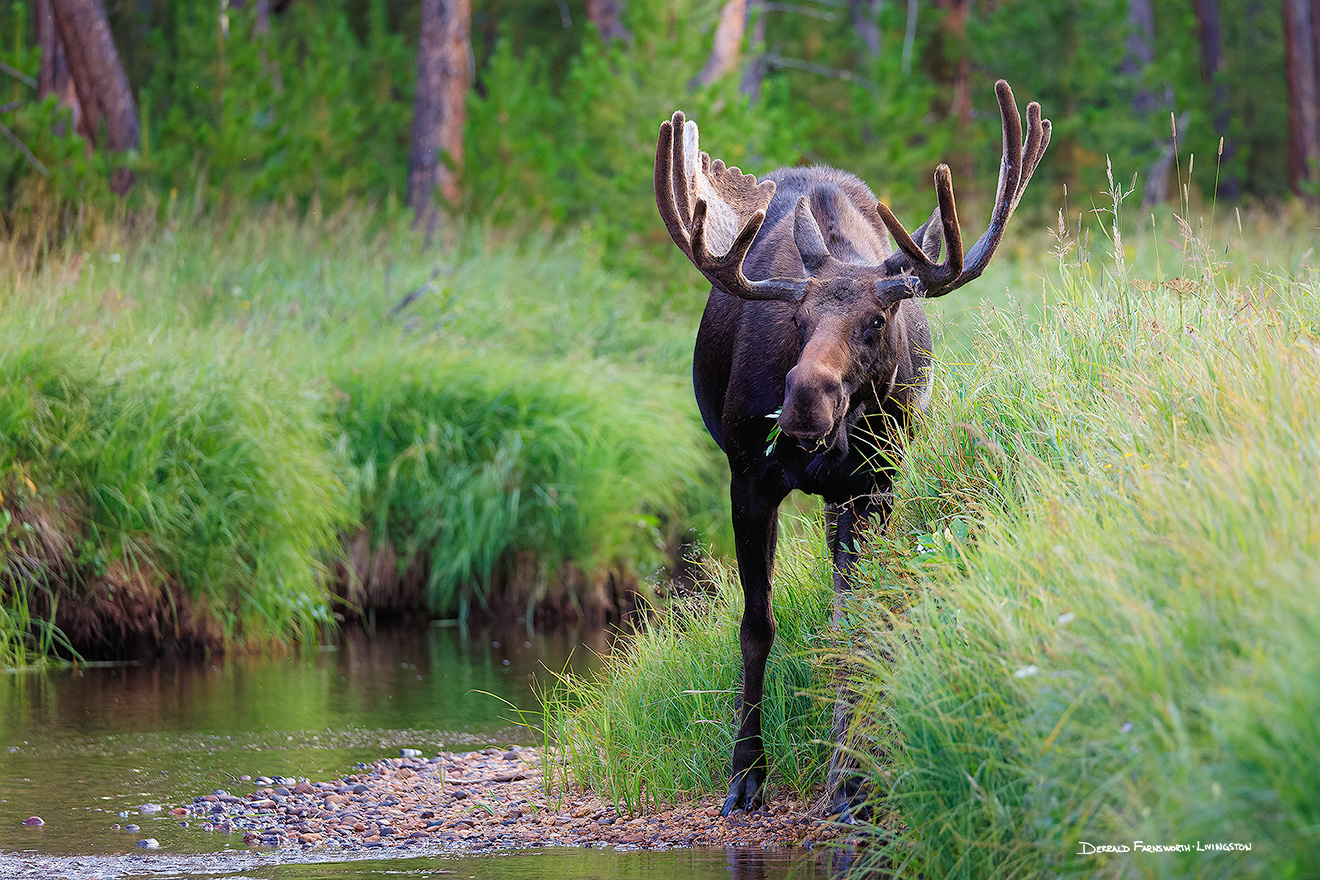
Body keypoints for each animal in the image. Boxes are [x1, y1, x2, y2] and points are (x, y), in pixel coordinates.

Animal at [657, 79, 1050, 817]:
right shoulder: (747, 478)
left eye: (875, 320)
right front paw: (746, 773)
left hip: (848, 495)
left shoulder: (877, 483)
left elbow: (857, 626)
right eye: (797, 317)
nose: (804, 401)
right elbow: (757, 626)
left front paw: (852, 777)